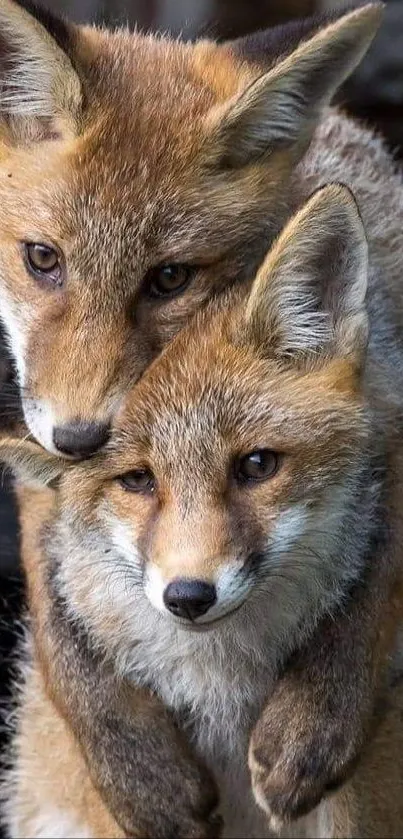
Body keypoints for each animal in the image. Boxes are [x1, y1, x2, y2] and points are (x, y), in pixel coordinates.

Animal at [2, 1, 403, 832]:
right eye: (42, 259)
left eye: (169, 278)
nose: (79, 438)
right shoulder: (32, 425)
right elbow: (60, 609)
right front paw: (133, 765)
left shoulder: (385, 393)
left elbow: (378, 571)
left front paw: (318, 717)